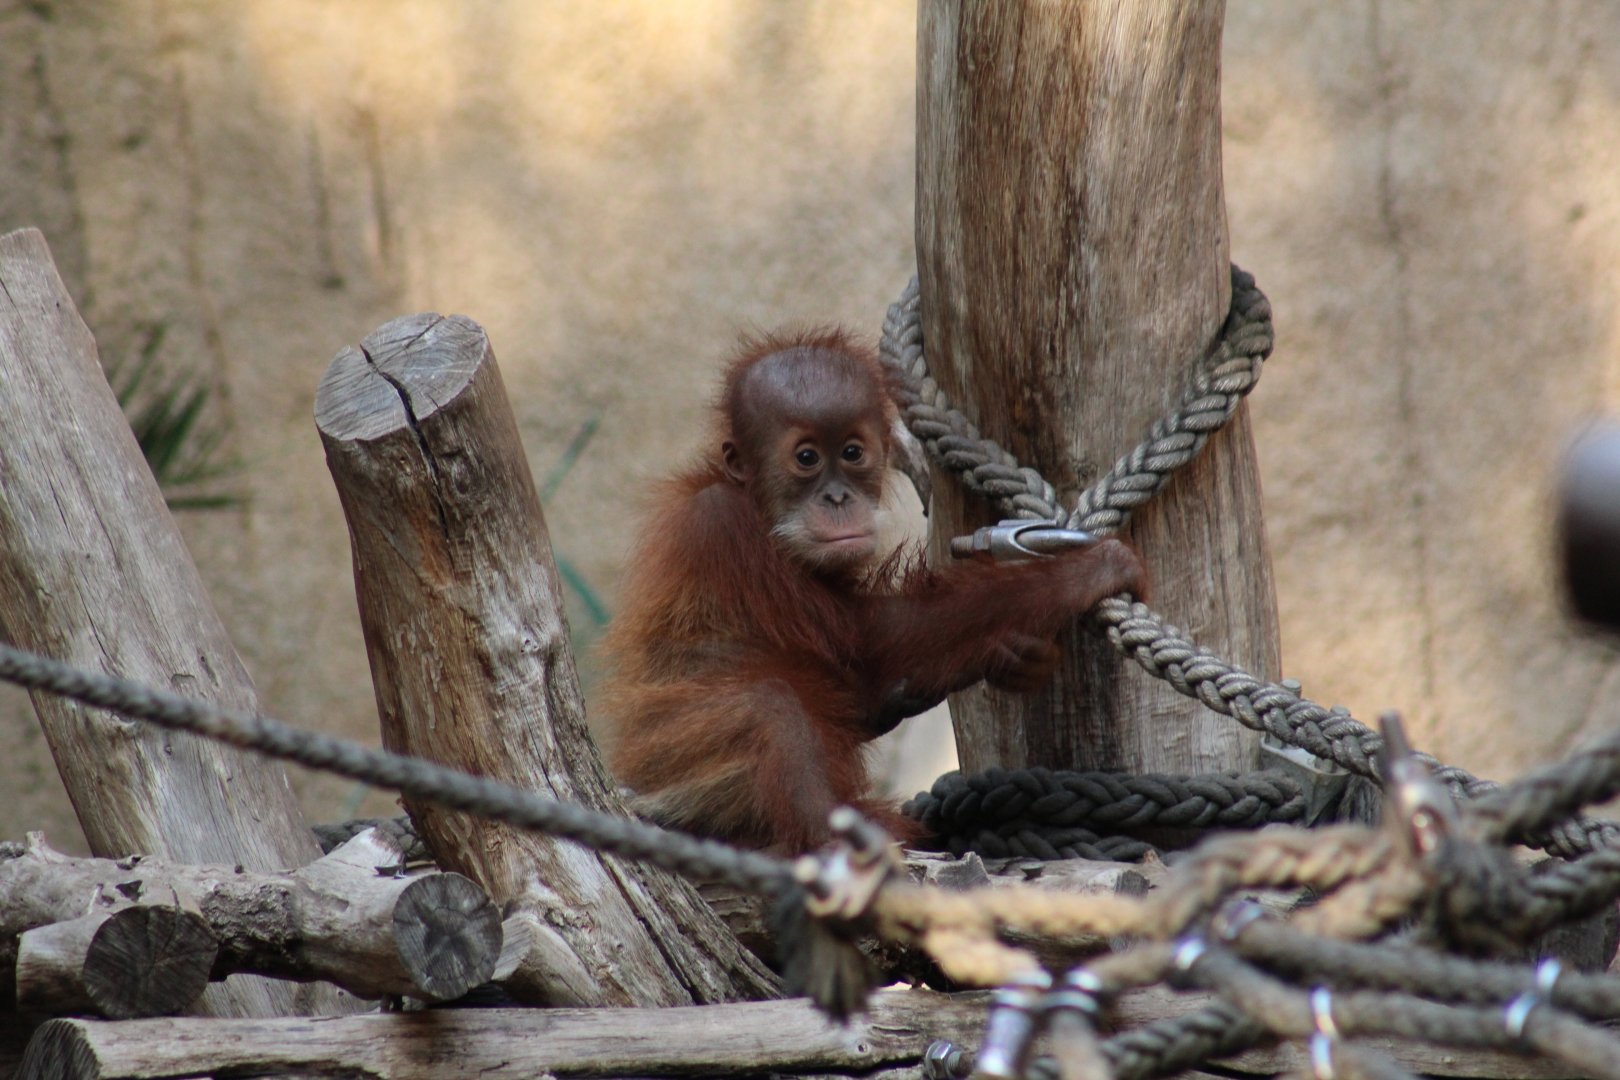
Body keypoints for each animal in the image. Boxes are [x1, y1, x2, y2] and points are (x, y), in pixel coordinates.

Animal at [602, 328, 1147, 853]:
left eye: (852, 453)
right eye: (806, 458)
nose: (837, 497)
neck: (757, 508)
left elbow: (867, 685)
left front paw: (1018, 656)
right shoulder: (726, 529)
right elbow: (871, 641)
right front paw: (1089, 569)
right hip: (673, 772)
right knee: (769, 708)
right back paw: (843, 839)